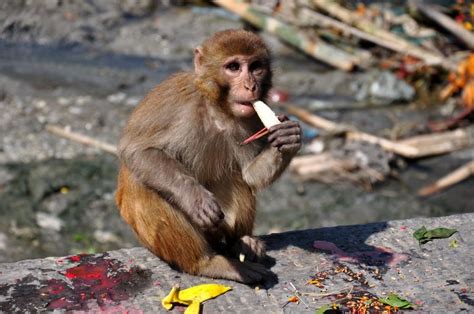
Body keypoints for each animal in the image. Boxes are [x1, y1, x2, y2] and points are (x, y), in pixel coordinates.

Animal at [115, 30, 300, 284]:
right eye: (233, 67)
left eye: (255, 67)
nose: (251, 86)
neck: (217, 108)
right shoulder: (176, 99)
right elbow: (137, 151)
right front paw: (196, 199)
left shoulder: (252, 118)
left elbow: (249, 175)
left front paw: (288, 137)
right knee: (143, 183)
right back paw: (207, 263)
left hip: (218, 229)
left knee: (236, 178)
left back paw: (240, 242)